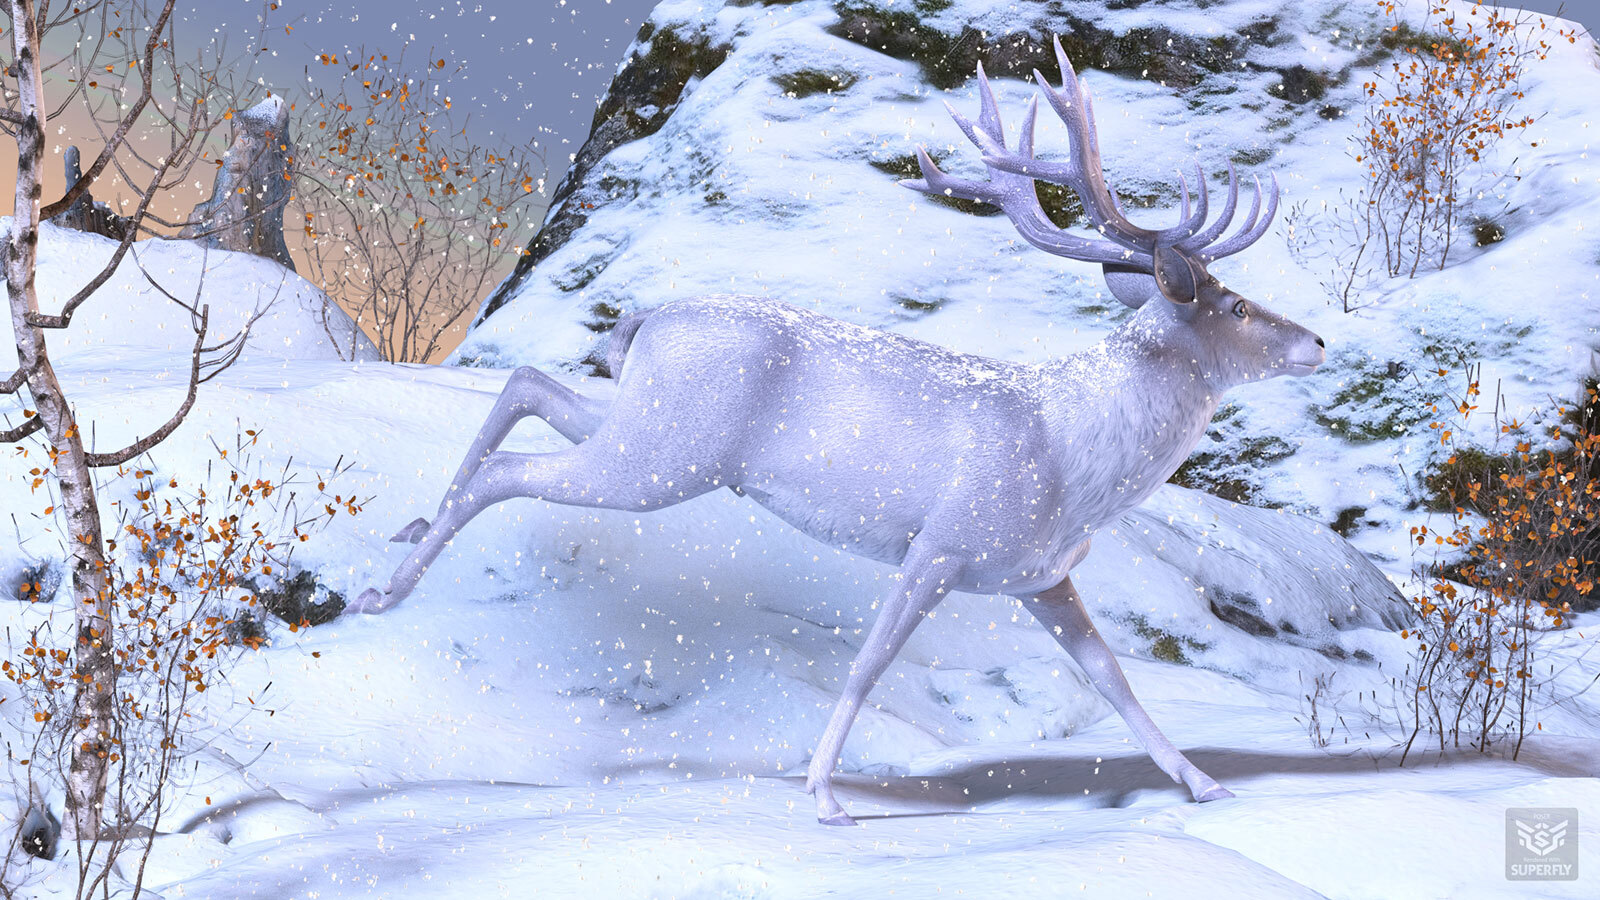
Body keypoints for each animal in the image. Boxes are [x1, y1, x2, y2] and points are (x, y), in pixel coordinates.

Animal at [351, 38, 1325, 826]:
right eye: (1236, 306)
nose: (1315, 340)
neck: (1076, 463)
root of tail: (651, 319)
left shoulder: (1040, 577)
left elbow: (1118, 681)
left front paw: (1207, 787)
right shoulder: (940, 544)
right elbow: (868, 663)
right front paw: (823, 796)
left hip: (645, 423)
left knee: (525, 385)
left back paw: (403, 529)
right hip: (660, 459)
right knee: (511, 467)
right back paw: (382, 594)